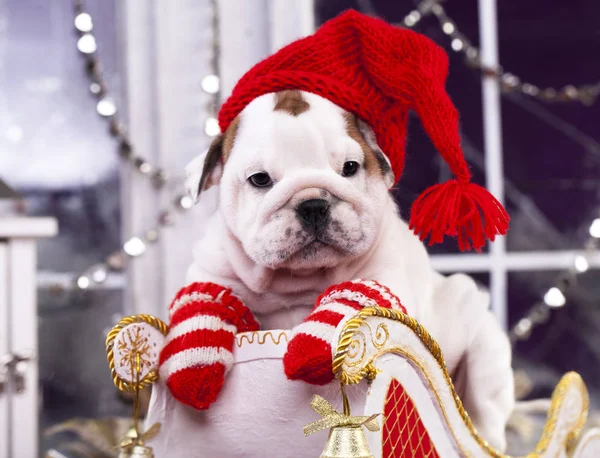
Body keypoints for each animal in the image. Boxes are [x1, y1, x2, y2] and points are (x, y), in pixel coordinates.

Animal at [180, 90, 512, 450]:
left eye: (350, 168)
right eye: (260, 179)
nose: (313, 203)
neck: (297, 281)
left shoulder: (385, 278)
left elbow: (359, 299)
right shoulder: (212, 275)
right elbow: (208, 302)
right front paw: (195, 358)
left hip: (485, 350)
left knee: (483, 416)